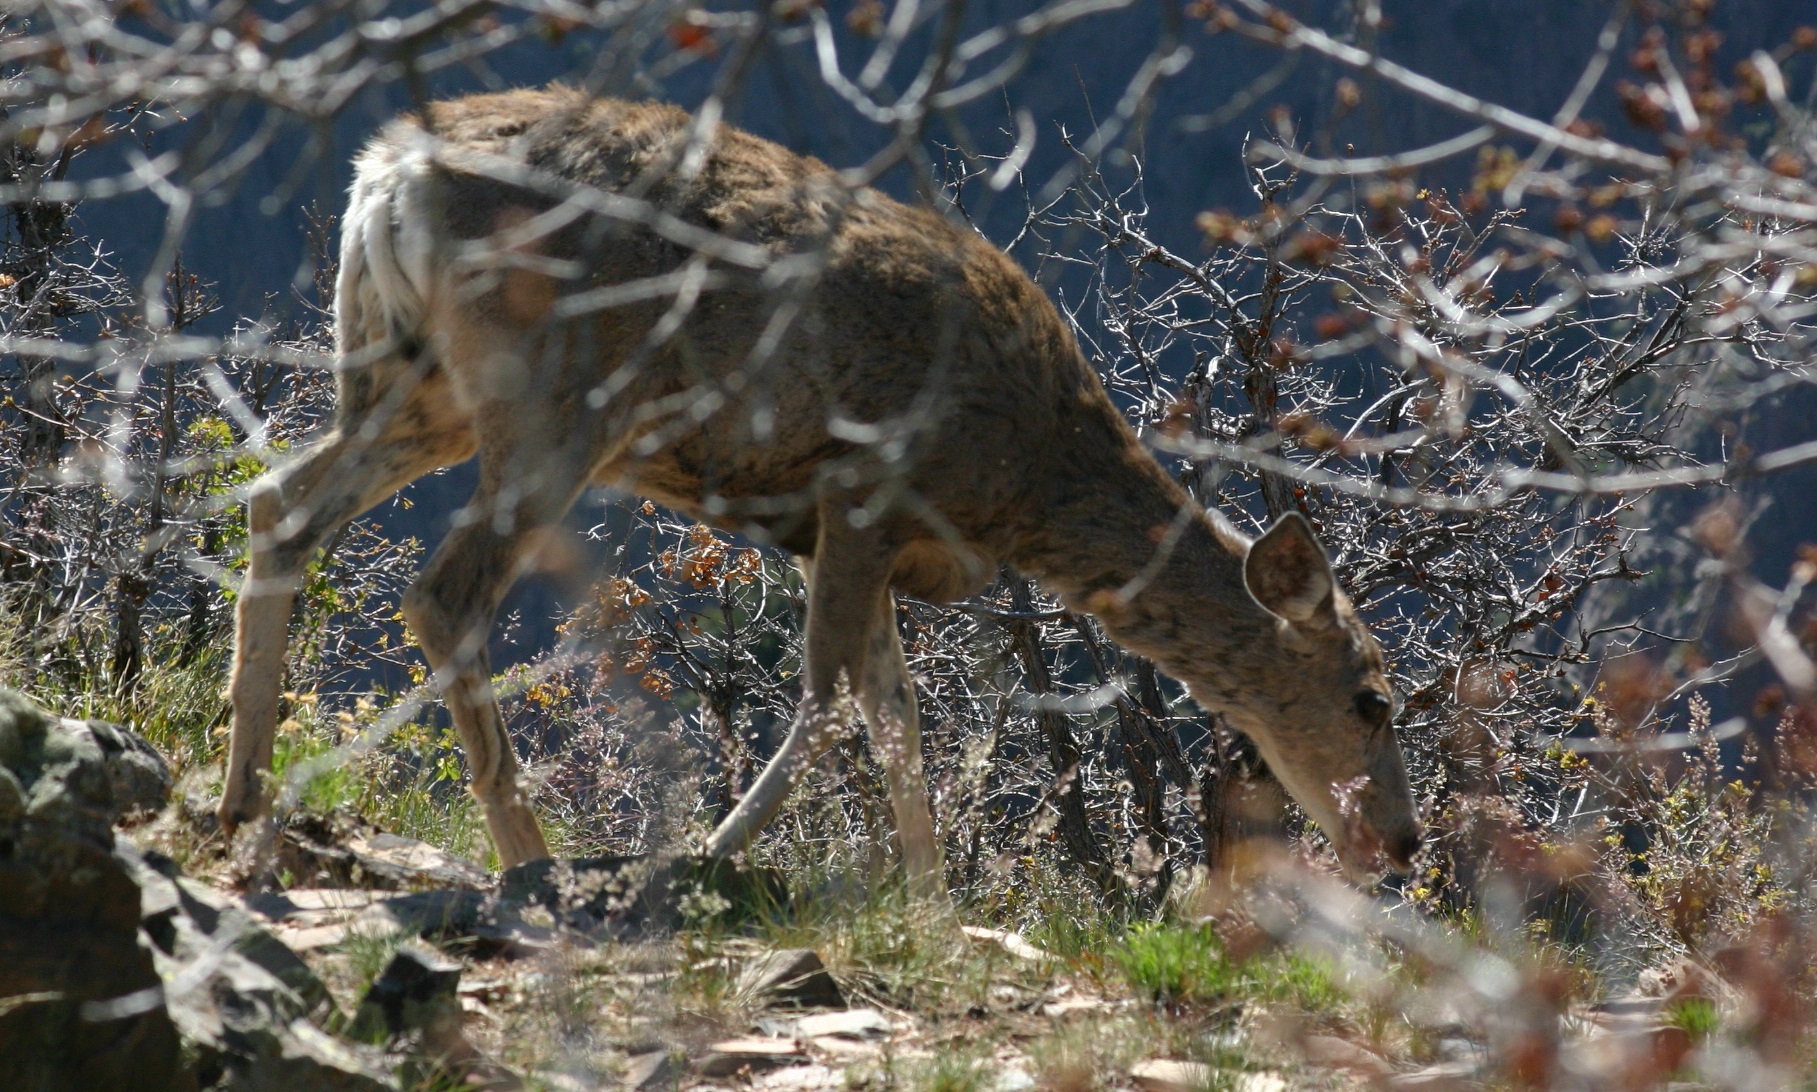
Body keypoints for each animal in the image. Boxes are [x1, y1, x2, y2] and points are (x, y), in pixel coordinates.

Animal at [220, 85, 1422, 895]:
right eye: (1371, 697)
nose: (1403, 844)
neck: (1024, 484)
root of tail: (386, 177)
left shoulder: (866, 536)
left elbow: (894, 714)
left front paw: (934, 905)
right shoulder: (865, 487)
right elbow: (833, 694)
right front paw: (712, 856)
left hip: (411, 382)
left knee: (278, 503)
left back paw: (243, 800)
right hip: (552, 396)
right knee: (442, 590)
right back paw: (530, 859)